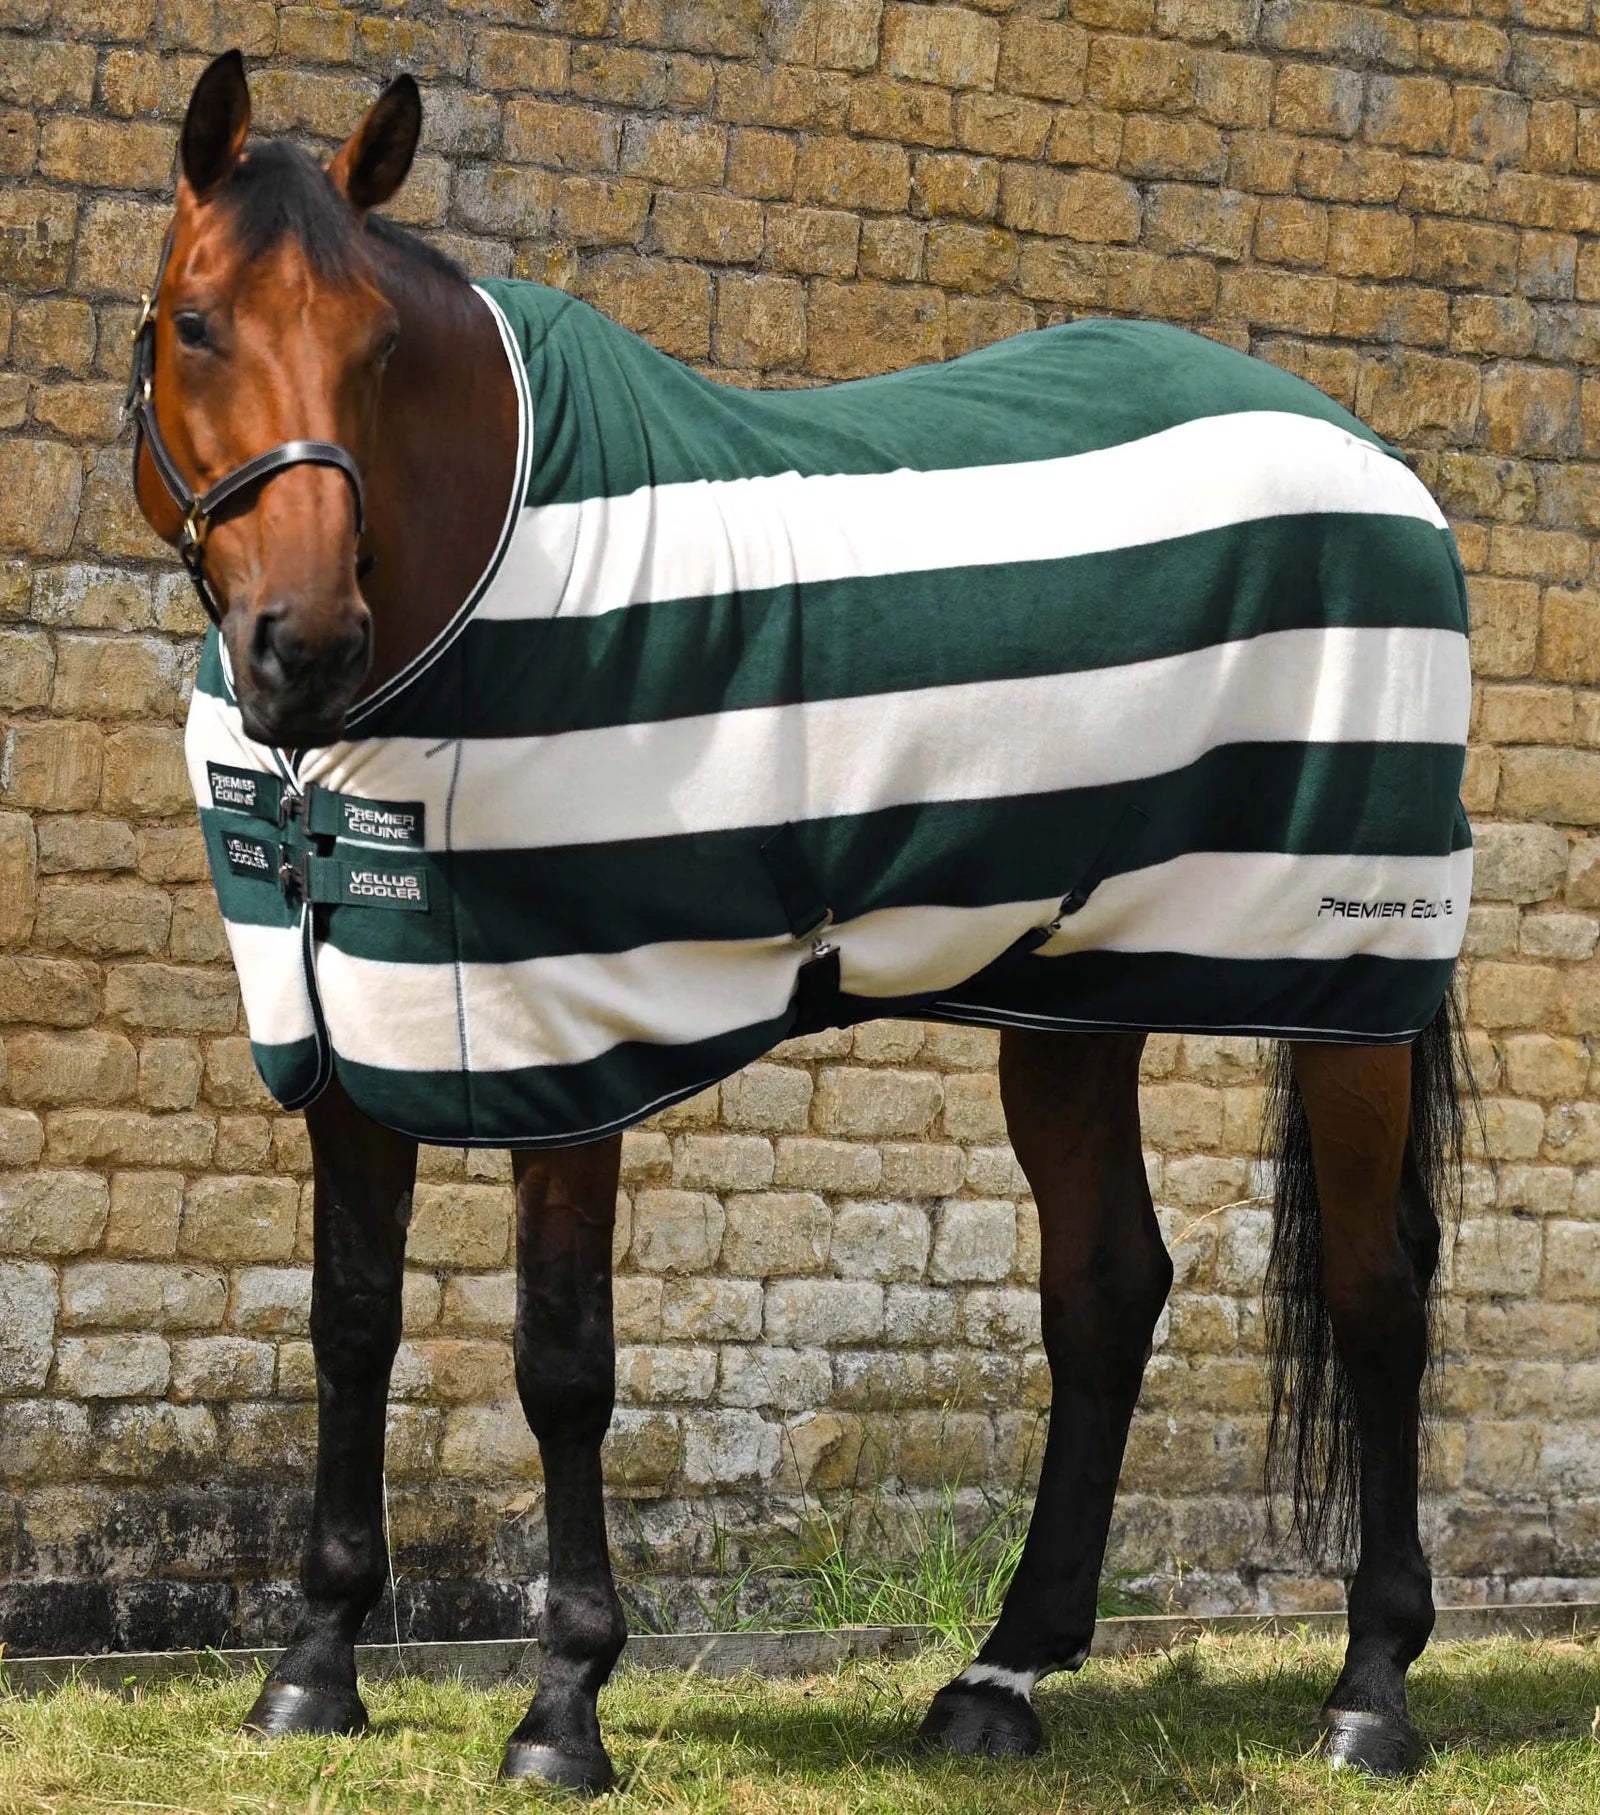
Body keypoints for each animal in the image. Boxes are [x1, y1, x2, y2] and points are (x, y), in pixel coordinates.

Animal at [123, 50, 1478, 1792]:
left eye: (379, 346)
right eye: (196, 321)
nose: (304, 646)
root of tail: (1377, 461)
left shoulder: (572, 1036)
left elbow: (562, 1361)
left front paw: (563, 1701)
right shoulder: (350, 1026)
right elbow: (349, 1321)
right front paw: (313, 1664)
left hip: (1345, 978)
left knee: (1378, 1290)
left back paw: (1372, 1688)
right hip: (1075, 985)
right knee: (1107, 1286)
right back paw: (1001, 1673)